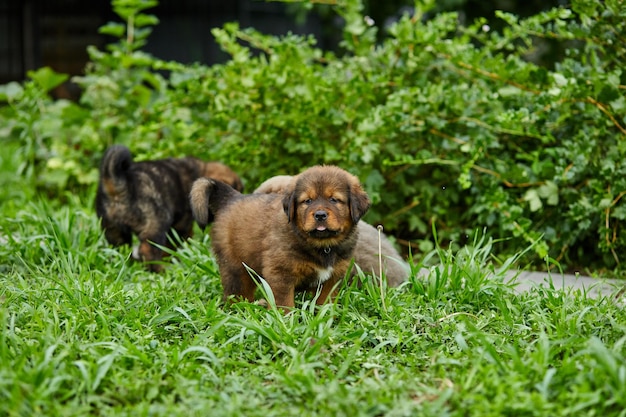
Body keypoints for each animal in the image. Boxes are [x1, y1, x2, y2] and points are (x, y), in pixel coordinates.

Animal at [95, 145, 244, 272]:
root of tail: (119, 185)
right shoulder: (182, 224)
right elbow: (173, 245)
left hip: (113, 229)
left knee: (118, 248)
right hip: (156, 224)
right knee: (148, 250)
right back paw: (160, 270)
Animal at [188, 165, 368, 306]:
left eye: (334, 200)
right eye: (307, 201)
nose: (320, 215)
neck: (322, 245)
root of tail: (231, 197)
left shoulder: (332, 279)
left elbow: (325, 303)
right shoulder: (281, 275)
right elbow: (284, 304)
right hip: (235, 267)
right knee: (237, 293)